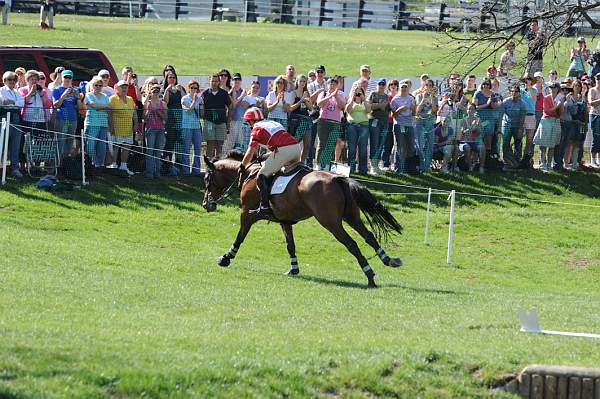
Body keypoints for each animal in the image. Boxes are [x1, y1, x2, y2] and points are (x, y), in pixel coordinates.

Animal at [202, 152, 404, 290]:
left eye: (206, 178)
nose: (206, 204)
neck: (249, 174)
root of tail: (338, 178)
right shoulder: (284, 220)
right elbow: (290, 245)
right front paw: (293, 269)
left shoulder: (247, 214)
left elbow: (240, 237)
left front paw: (226, 257)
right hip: (351, 217)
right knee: (369, 236)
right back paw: (389, 260)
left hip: (331, 223)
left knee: (352, 244)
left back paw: (370, 275)